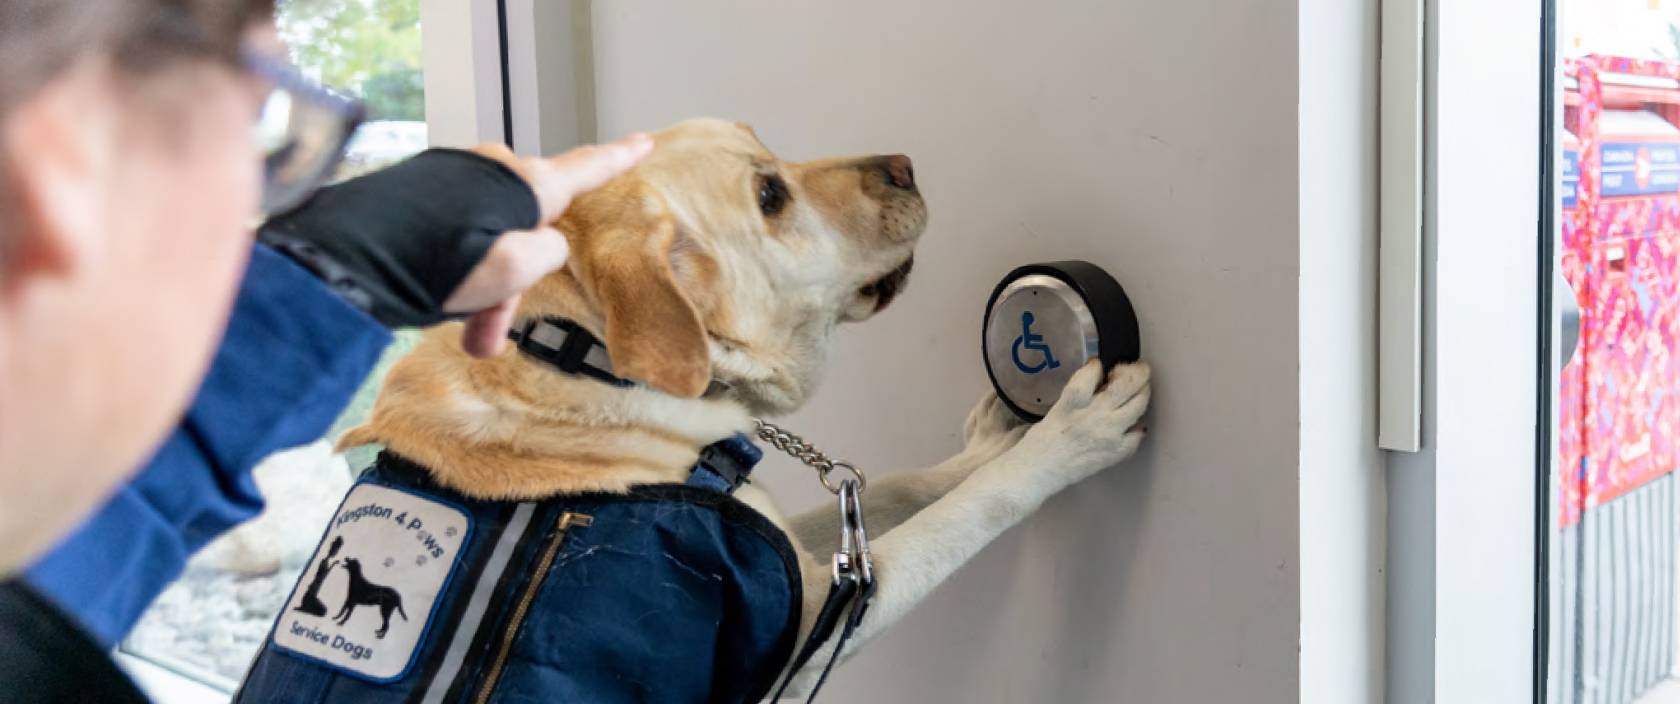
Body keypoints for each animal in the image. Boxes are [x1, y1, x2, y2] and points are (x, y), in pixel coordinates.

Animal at [236, 118, 1149, 702]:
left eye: (775, 152)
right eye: (771, 195)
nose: (904, 162)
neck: (588, 357)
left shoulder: (790, 538)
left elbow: (899, 487)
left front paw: (992, 443)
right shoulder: (816, 622)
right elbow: (959, 518)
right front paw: (1063, 439)